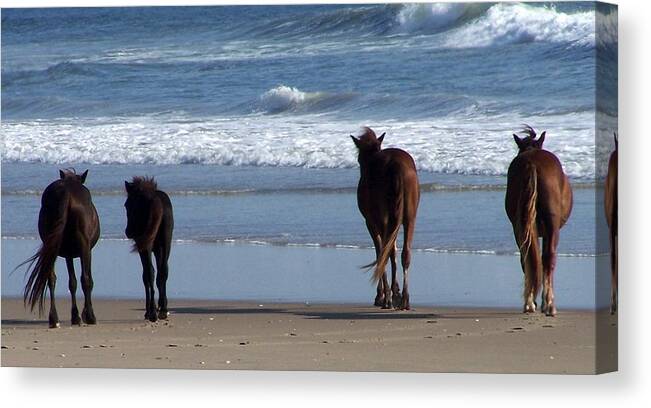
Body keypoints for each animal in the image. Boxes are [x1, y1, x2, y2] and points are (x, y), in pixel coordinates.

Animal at [19, 169, 100, 328]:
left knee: (51, 278)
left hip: (51, 246)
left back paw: (54, 318)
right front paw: (84, 315)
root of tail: (66, 192)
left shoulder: (68, 255)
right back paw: (90, 316)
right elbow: (86, 279)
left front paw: (75, 316)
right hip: (83, 246)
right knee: (85, 279)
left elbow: (72, 282)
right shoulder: (87, 251)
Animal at [124, 175, 173, 322]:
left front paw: (149, 311)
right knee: (163, 271)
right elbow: (161, 275)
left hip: (146, 245)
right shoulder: (158, 250)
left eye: (127, 205)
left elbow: (146, 275)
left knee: (150, 272)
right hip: (166, 243)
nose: (128, 232)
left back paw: (152, 312)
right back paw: (163, 310)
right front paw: (161, 306)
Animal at [354, 127, 420, 310]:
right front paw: (392, 292)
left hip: (383, 218)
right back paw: (404, 298)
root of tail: (396, 165)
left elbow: (380, 252)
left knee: (386, 251)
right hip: (409, 217)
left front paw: (382, 295)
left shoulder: (371, 222)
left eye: (359, 159)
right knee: (405, 253)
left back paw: (391, 298)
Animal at [506, 126, 572, 318]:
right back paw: (549, 305)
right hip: (551, 224)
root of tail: (532, 163)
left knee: (528, 257)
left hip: (521, 225)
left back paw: (530, 303)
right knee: (548, 257)